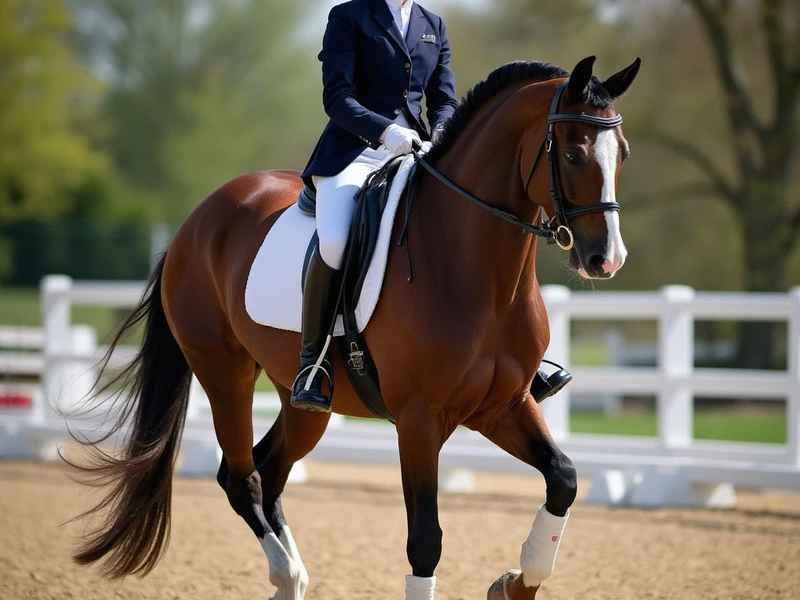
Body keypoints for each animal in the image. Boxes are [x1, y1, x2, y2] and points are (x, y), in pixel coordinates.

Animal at [70, 56, 639, 599]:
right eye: (573, 155)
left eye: (622, 154)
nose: (606, 260)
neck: (477, 271)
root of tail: (195, 222)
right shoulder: (418, 419)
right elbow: (425, 540)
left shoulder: (504, 405)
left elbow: (563, 478)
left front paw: (514, 583)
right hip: (224, 374)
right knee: (242, 478)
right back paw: (287, 577)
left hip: (303, 402)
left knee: (270, 472)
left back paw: (292, 580)